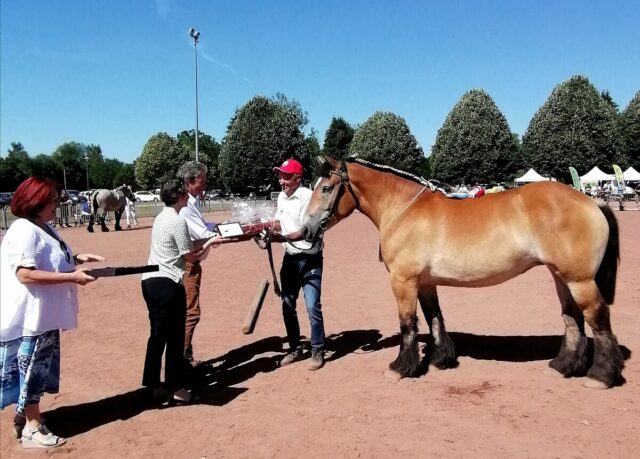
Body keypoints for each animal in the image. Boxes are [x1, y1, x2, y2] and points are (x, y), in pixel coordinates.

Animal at [302, 157, 624, 388]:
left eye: (326, 188)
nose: (305, 230)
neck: (404, 210)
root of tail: (592, 201)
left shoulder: (403, 281)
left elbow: (408, 324)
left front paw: (401, 367)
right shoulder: (425, 283)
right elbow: (434, 318)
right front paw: (439, 359)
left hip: (580, 280)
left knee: (597, 318)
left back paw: (600, 376)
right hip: (561, 277)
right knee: (572, 318)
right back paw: (563, 366)